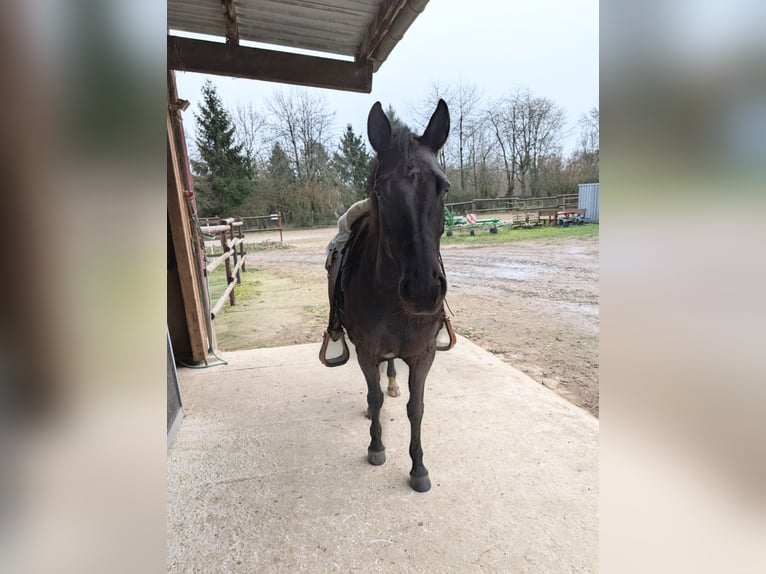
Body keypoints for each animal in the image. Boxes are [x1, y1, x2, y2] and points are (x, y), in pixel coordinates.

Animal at [334, 99, 451, 492]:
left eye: (443, 188)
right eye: (381, 191)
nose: (423, 290)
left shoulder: (423, 354)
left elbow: (417, 408)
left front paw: (419, 467)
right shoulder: (366, 350)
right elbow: (373, 396)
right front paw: (376, 446)